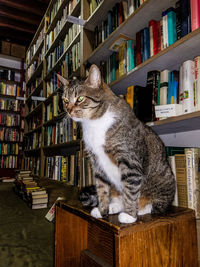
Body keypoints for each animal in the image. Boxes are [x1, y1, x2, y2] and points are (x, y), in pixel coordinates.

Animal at [57, 65, 175, 224]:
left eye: (80, 99)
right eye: (64, 100)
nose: (69, 110)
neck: (94, 123)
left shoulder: (129, 160)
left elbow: (130, 190)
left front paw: (130, 215)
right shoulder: (97, 162)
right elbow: (102, 189)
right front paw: (103, 211)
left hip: (164, 184)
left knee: (156, 205)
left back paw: (140, 210)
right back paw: (113, 206)